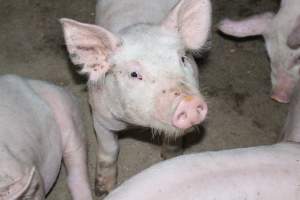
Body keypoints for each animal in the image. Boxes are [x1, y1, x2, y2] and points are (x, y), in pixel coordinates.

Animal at [59, 0, 212, 195]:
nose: (189, 102)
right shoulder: (99, 114)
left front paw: (171, 157)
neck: (135, 124)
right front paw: (102, 191)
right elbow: (109, 149)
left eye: (183, 59)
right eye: (134, 74)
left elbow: (173, 139)